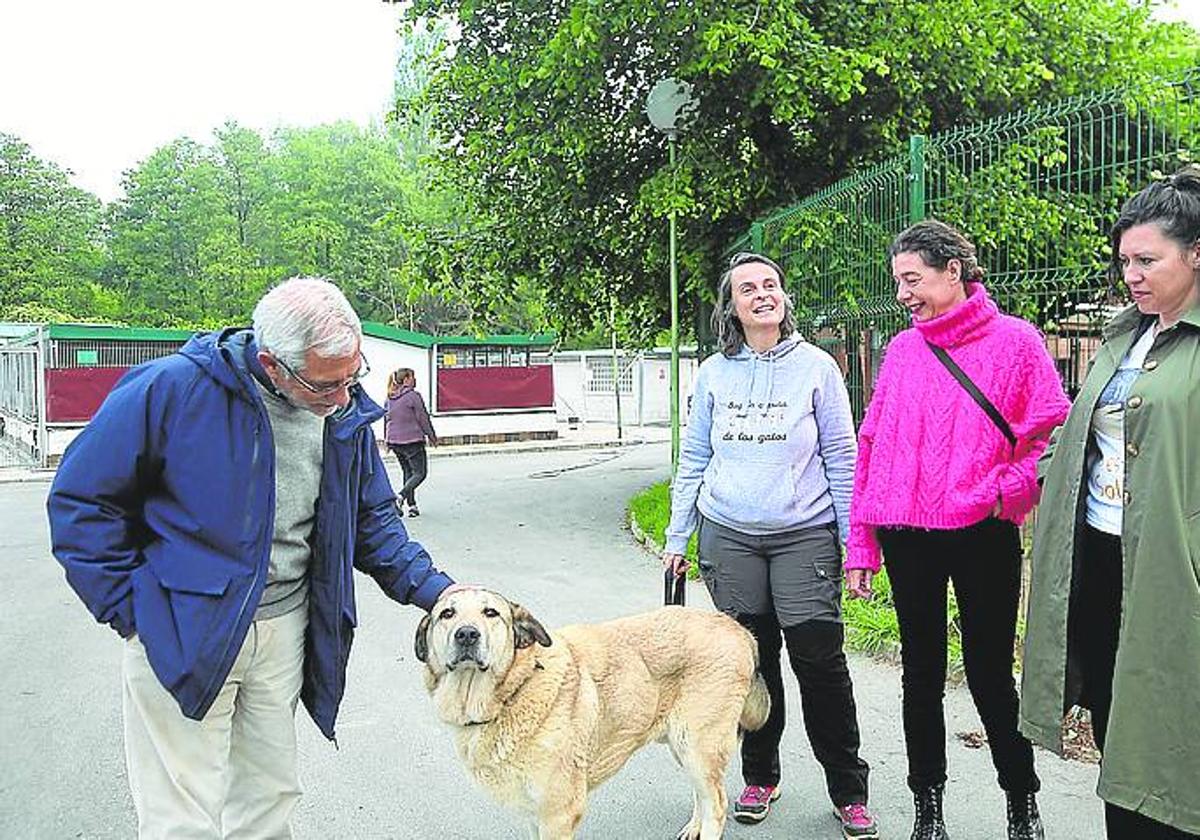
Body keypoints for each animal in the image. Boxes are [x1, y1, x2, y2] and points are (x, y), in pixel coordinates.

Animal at [412, 588, 768, 835]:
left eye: (490, 613)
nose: (467, 634)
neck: (515, 690)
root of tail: (738, 629)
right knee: (704, 796)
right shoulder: (535, 815)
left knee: (716, 804)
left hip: (698, 746)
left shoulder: (558, 815)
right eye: (447, 614)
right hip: (684, 747)